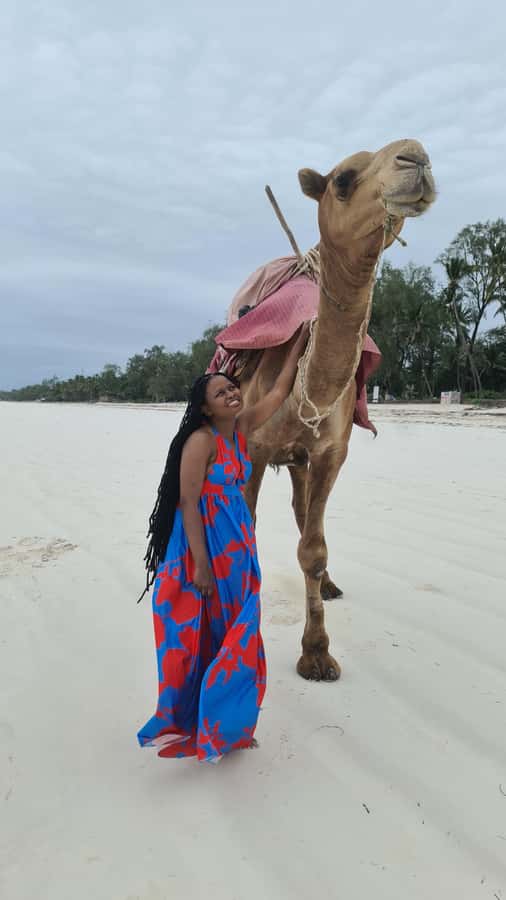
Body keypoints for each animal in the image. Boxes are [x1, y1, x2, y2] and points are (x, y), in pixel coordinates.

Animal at [240, 138, 436, 682]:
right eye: (344, 179)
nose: (416, 157)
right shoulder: (254, 447)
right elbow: (248, 524)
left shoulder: (331, 451)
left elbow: (313, 546)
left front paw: (317, 652)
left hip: (300, 460)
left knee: (304, 513)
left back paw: (328, 584)